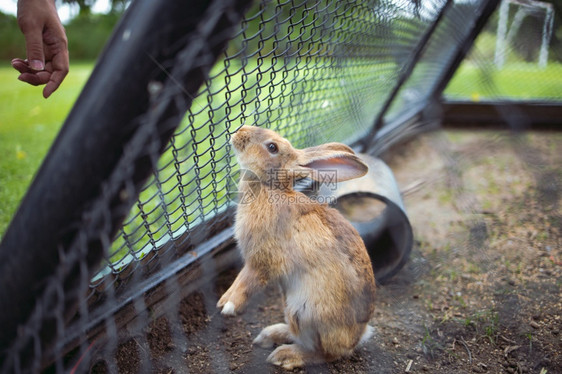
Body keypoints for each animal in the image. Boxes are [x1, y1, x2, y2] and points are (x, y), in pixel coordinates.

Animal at [217, 125, 374, 368]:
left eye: (272, 147)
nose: (239, 131)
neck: (270, 188)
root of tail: (356, 338)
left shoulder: (261, 262)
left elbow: (247, 283)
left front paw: (229, 307)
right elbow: (239, 280)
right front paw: (222, 301)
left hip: (304, 312)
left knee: (325, 353)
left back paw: (284, 355)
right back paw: (269, 336)